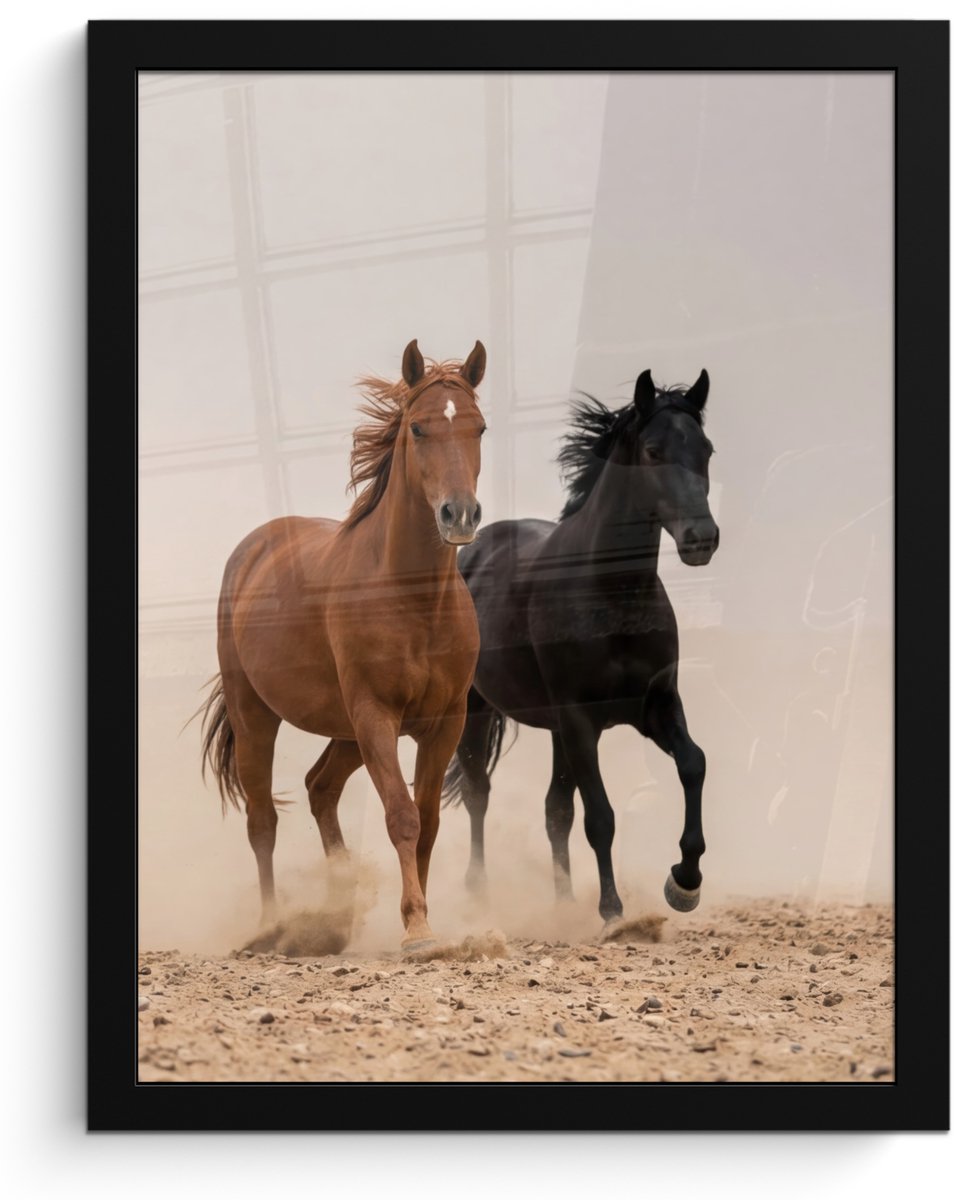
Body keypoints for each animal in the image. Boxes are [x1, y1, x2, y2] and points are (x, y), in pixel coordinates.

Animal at [198, 339, 487, 952]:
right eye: (419, 428)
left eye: (479, 427)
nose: (460, 514)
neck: (412, 598)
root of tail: (253, 548)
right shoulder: (375, 714)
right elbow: (402, 816)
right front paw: (417, 929)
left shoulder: (444, 722)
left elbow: (428, 821)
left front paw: (423, 920)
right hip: (258, 715)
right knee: (263, 821)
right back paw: (272, 926)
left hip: (345, 732)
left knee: (319, 788)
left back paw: (335, 915)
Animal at [442, 368, 719, 929]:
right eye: (654, 450)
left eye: (706, 449)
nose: (702, 538)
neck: (612, 597)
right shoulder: (579, 720)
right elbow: (601, 816)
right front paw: (613, 912)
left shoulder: (656, 706)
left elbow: (693, 763)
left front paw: (684, 882)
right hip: (479, 710)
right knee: (480, 793)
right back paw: (480, 893)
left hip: (553, 731)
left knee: (554, 810)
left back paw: (563, 902)